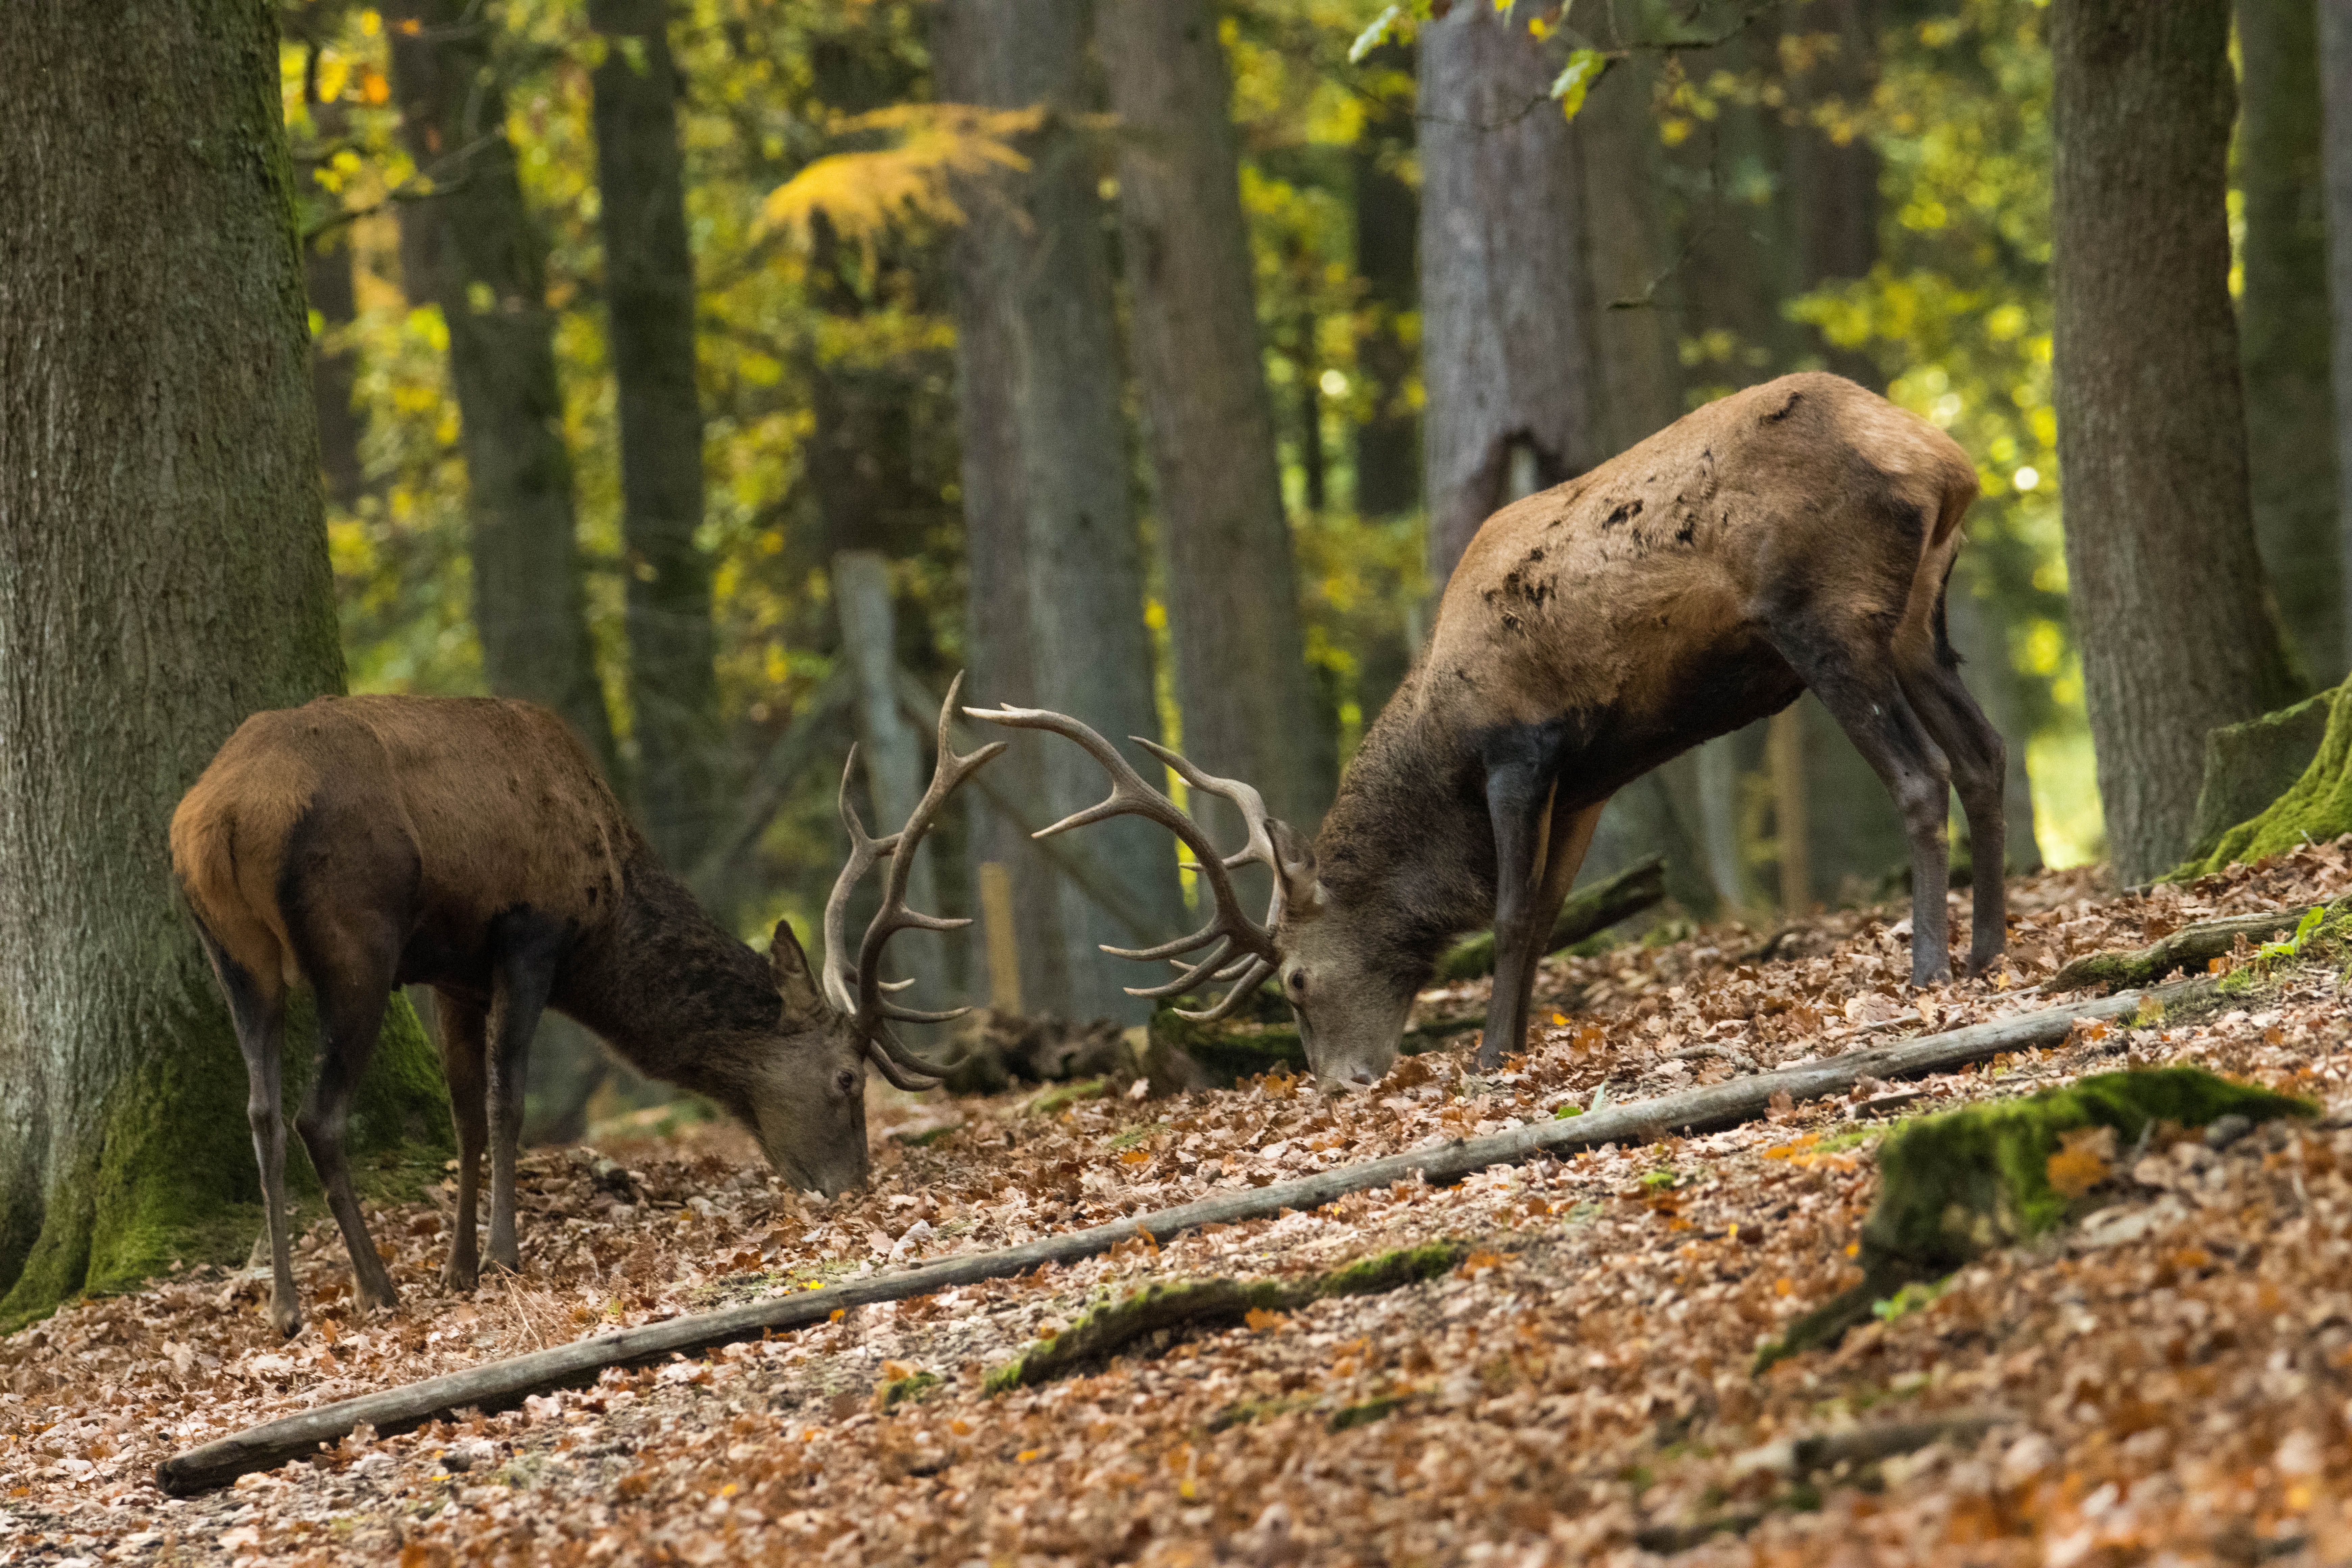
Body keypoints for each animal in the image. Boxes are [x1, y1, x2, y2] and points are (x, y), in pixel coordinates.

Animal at [170, 677, 997, 1335]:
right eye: (848, 1079)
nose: (852, 1185)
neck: (608, 902)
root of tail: (217, 820)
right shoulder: (530, 931)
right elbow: (506, 1100)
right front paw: (501, 1256)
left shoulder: (453, 971)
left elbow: (465, 1113)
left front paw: (458, 1268)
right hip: (357, 940)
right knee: (317, 1117)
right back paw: (377, 1287)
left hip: (235, 956)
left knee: (261, 1111)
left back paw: (285, 1306)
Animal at [974, 378, 2004, 1091]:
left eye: (1296, 984)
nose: (1338, 1083)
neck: (1440, 740)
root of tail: (1945, 461)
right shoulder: (1590, 780)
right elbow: (1546, 914)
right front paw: (1515, 1038)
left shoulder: (1519, 744)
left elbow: (1507, 914)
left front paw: (1485, 1056)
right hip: (1920, 618)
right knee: (1986, 757)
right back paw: (1988, 950)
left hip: (1823, 612)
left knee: (1920, 775)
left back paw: (1927, 965)